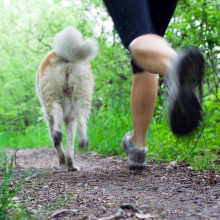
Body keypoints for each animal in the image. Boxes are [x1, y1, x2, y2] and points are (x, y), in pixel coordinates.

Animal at [36, 26, 98, 171]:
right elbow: (70, 144)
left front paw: (62, 159)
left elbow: (56, 143)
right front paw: (70, 164)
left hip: (50, 97)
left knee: (56, 112)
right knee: (81, 120)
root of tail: (65, 56)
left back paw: (58, 133)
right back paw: (83, 142)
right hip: (83, 95)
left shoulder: (49, 119)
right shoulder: (70, 118)